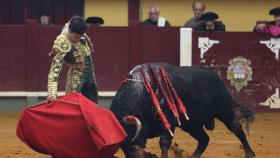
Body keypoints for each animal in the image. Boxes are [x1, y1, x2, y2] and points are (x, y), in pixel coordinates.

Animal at [110, 63, 256, 158]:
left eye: (130, 138)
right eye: (121, 145)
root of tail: (217, 77)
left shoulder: (168, 121)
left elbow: (164, 142)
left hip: (225, 111)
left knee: (237, 129)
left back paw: (250, 153)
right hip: (191, 124)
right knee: (204, 139)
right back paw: (193, 156)